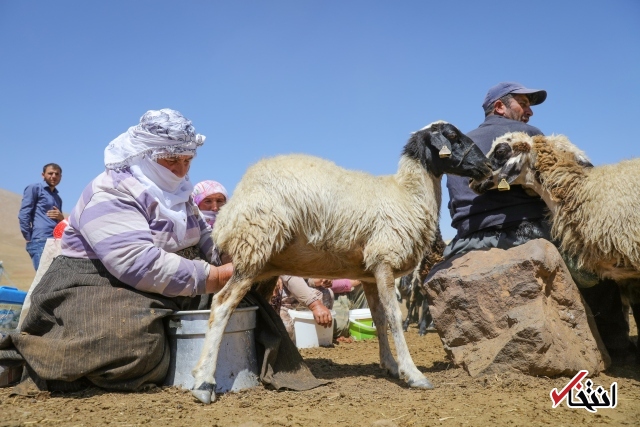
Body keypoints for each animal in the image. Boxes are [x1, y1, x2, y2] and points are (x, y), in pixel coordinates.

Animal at [190, 121, 490, 404]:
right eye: (452, 135)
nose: (487, 166)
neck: (407, 195)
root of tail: (228, 214)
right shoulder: (384, 259)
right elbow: (394, 317)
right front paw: (413, 374)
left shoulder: (369, 272)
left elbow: (379, 319)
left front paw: (390, 365)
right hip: (253, 249)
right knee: (222, 304)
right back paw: (204, 383)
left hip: (264, 267)